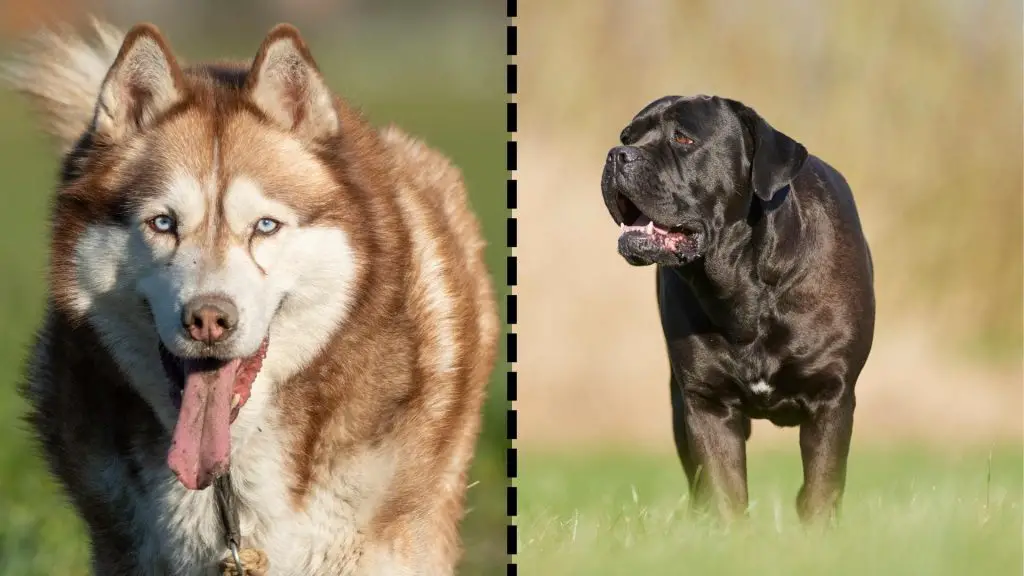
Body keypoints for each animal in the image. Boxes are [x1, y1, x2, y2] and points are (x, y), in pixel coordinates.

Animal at [602, 96, 876, 522]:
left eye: (683, 137)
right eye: (628, 136)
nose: (618, 154)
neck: (743, 284)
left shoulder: (830, 397)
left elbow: (821, 488)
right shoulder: (707, 404)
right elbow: (724, 491)